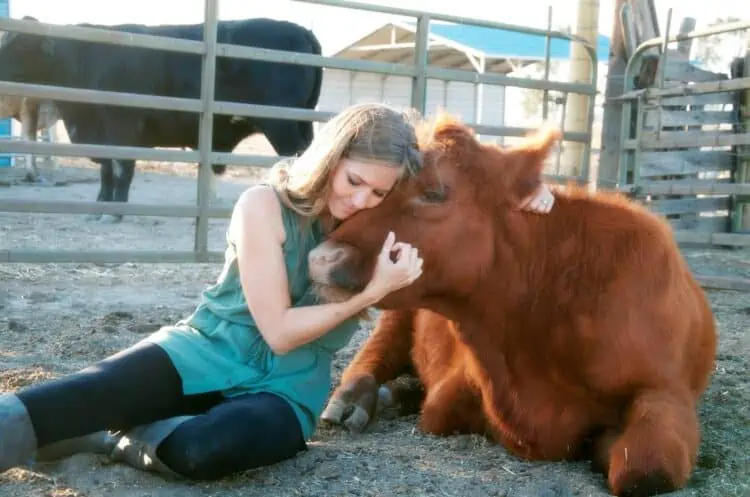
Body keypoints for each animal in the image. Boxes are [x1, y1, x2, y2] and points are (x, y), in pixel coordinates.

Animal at [0, 17, 324, 222]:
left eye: (19, 44)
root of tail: (300, 30)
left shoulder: (122, 127)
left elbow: (120, 168)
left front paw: (114, 212)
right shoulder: (100, 133)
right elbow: (106, 171)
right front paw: (100, 206)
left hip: (282, 126)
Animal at [308, 113, 720, 496]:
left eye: (435, 192)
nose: (321, 258)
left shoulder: (666, 390)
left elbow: (642, 471)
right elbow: (437, 410)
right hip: (397, 317)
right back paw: (356, 398)